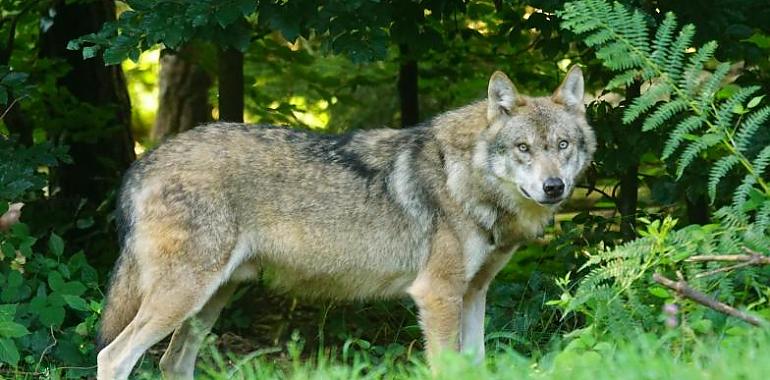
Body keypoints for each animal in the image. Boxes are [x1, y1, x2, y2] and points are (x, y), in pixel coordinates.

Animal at [96, 66, 592, 380]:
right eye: (523, 148)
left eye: (563, 145)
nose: (553, 187)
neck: (463, 177)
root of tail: (144, 162)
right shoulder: (437, 295)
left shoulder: (473, 294)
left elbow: (477, 364)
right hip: (184, 296)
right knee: (112, 356)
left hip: (210, 300)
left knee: (172, 363)